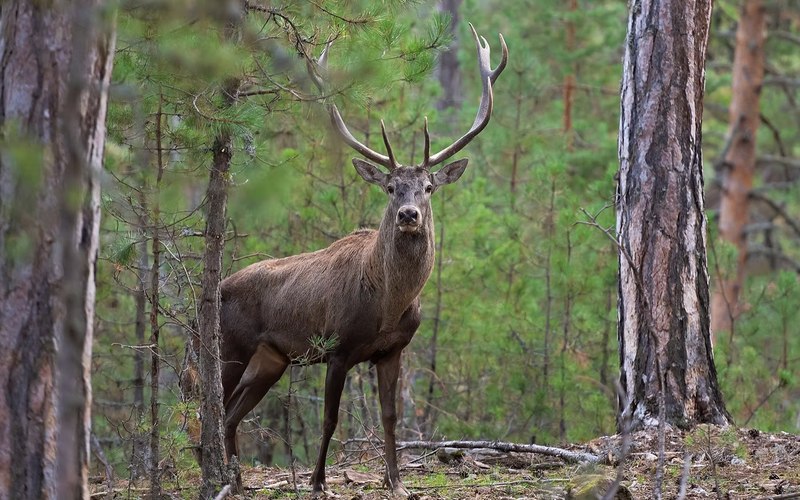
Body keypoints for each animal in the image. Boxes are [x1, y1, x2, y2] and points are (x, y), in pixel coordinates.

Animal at [217, 24, 507, 496]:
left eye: (428, 187)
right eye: (390, 187)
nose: (408, 215)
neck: (387, 305)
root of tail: (218, 287)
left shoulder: (393, 351)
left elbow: (391, 418)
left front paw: (397, 482)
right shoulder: (337, 347)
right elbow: (330, 419)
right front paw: (318, 483)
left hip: (271, 359)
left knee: (231, 414)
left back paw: (237, 479)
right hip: (232, 346)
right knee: (210, 407)